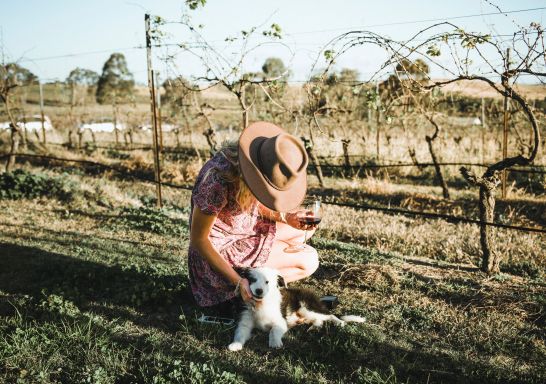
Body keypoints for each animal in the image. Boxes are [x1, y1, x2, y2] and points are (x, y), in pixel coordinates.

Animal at [227, 268, 364, 352]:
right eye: (253, 280)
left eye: (267, 282)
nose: (259, 291)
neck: (261, 304)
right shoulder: (245, 321)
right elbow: (240, 333)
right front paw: (236, 344)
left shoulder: (280, 322)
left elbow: (274, 331)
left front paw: (275, 343)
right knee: (319, 320)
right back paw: (314, 327)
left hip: (306, 307)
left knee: (329, 315)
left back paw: (339, 323)